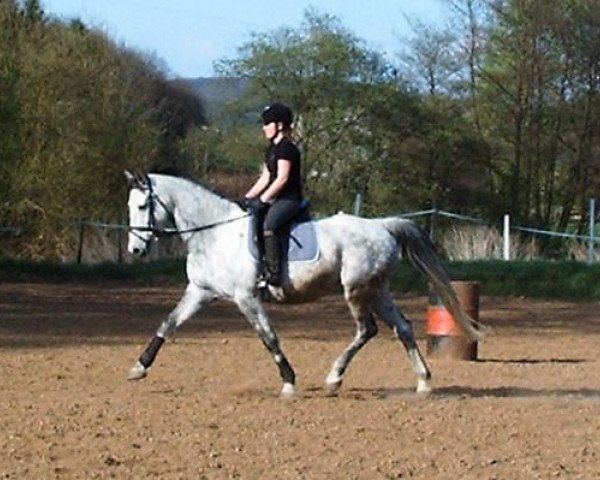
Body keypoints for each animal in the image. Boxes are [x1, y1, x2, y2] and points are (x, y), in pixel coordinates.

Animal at [124, 171, 480, 396]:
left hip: (356, 289)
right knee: (402, 327)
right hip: (376, 289)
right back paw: (423, 382)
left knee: (367, 330)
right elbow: (168, 323)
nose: (135, 250)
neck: (215, 233)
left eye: (142, 206)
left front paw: (289, 382)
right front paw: (139, 368)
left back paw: (334, 378)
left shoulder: (246, 298)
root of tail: (382, 226)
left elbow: (269, 338)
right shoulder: (200, 291)